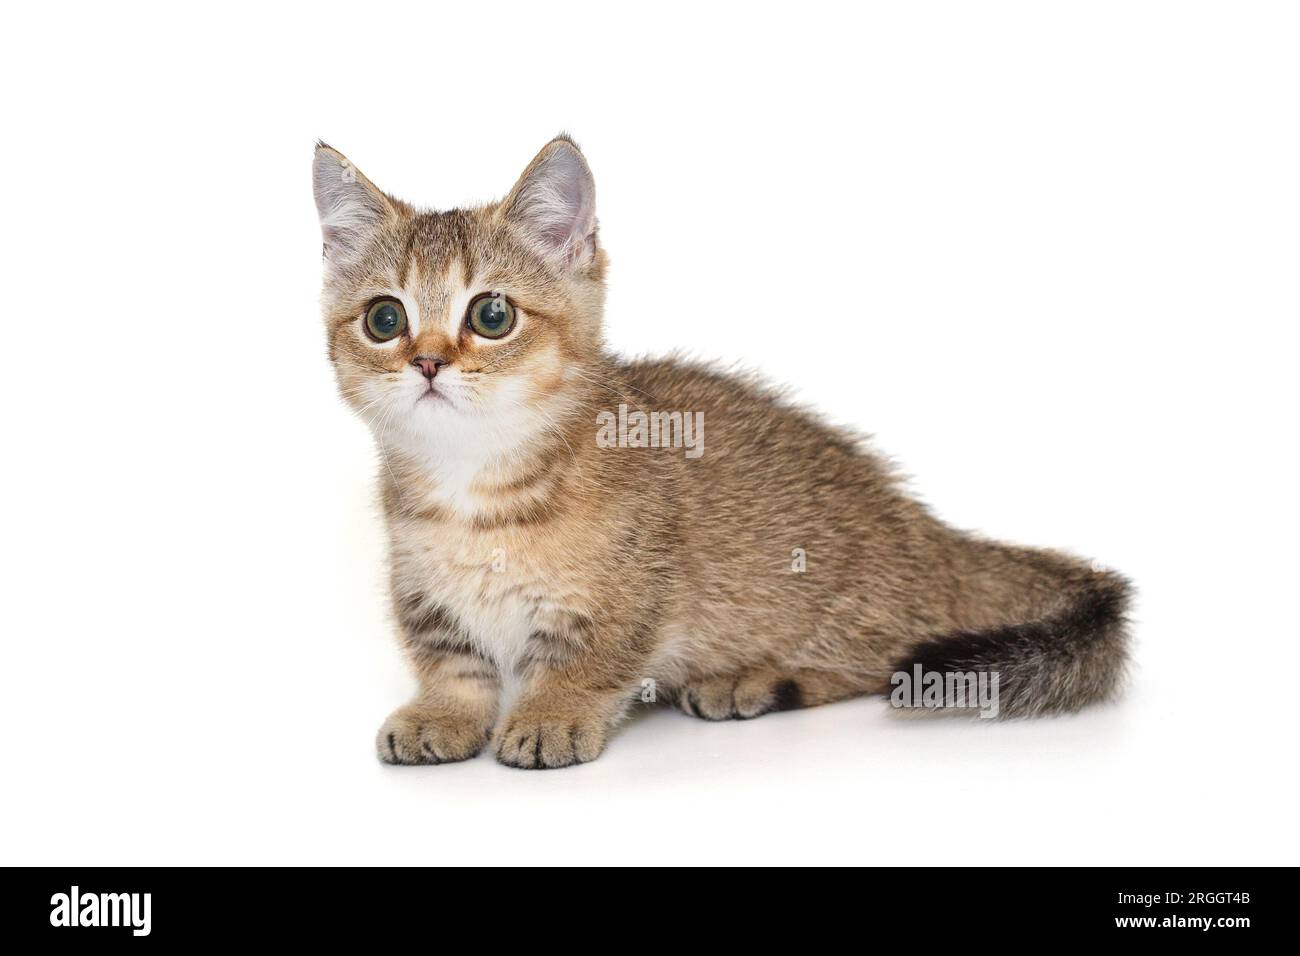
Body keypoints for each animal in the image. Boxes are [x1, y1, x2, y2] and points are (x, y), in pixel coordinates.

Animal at [312, 134, 1128, 770]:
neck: (475, 484)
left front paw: (552, 711)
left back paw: (753, 681)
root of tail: (927, 529)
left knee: (875, 660)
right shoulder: (420, 590)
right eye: (385, 319)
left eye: (490, 315)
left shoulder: (637, 591)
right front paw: (443, 713)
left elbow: (591, 659)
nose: (427, 362)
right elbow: (451, 662)